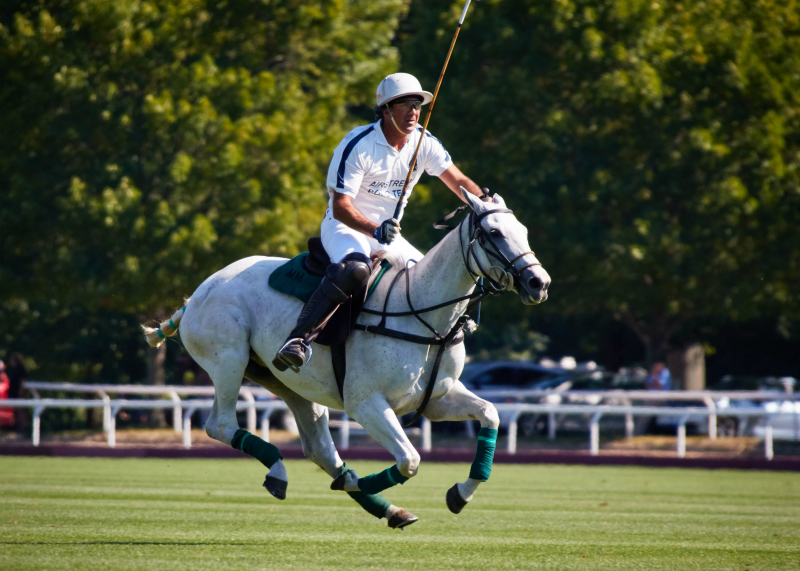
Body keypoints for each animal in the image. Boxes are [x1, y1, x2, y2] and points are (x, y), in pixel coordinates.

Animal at [144, 191, 552, 528]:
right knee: (220, 425)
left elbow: (490, 414)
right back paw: (295, 473)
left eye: (523, 230)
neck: (426, 316)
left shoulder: (436, 399)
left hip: (288, 383)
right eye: (494, 233)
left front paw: (460, 494)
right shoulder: (364, 402)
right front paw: (365, 482)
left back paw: (378, 504)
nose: (539, 283)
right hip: (229, 360)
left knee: (319, 448)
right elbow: (410, 460)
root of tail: (197, 294)